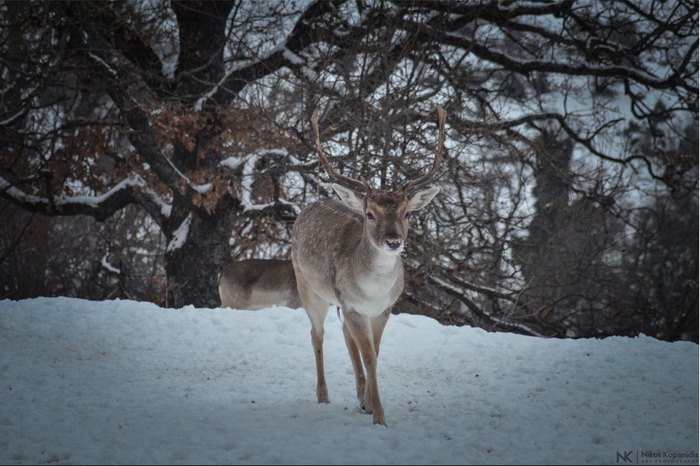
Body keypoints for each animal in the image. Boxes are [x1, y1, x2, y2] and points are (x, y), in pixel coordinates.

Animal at [292, 105, 446, 426]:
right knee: (317, 334)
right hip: (307, 287)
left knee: (343, 334)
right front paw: (380, 417)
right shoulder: (353, 306)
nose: (394, 241)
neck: (372, 292)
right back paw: (323, 395)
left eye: (407, 213)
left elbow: (374, 351)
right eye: (370, 214)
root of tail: (308, 206)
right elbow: (370, 356)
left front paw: (370, 404)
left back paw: (359, 397)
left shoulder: (382, 309)